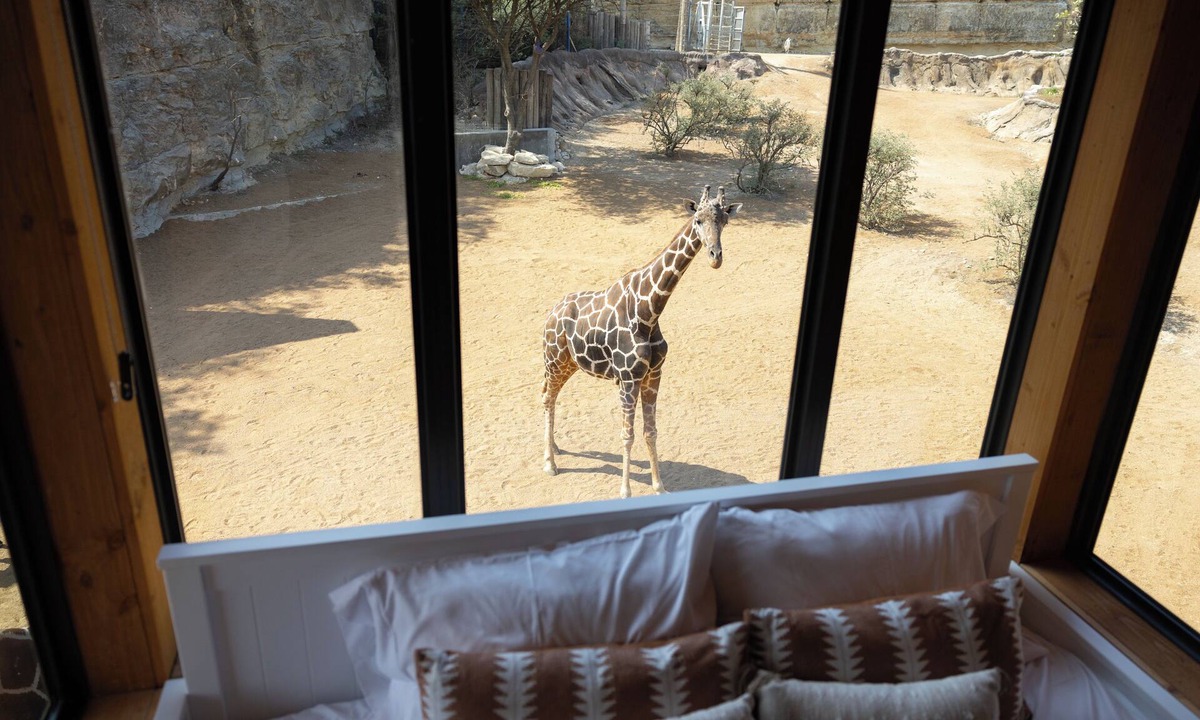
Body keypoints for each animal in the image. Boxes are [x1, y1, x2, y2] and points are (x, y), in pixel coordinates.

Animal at [541, 185, 743, 498]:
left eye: (724, 221)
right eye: (697, 219)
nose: (715, 257)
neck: (649, 311)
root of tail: (550, 314)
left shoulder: (653, 375)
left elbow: (651, 431)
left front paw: (659, 487)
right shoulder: (628, 379)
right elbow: (628, 434)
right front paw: (625, 492)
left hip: (568, 365)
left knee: (552, 397)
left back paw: (556, 448)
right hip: (554, 361)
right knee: (546, 399)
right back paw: (549, 463)